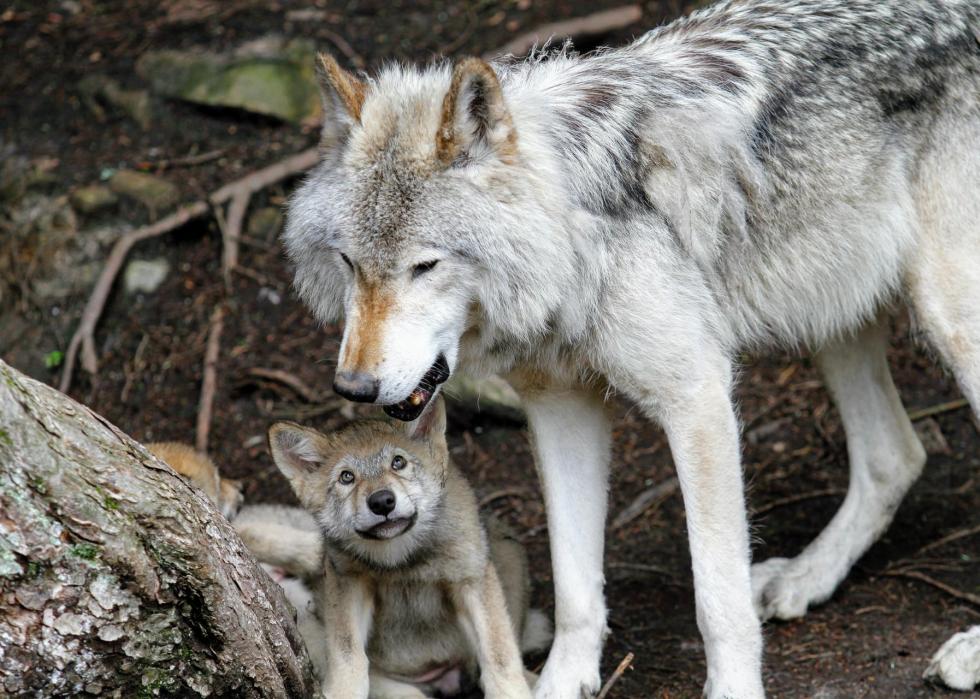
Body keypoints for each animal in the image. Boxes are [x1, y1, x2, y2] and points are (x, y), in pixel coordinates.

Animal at [233, 400, 548, 699]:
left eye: (398, 462)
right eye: (347, 477)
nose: (382, 501)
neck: (401, 560)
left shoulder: (470, 579)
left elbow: (499, 654)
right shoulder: (347, 582)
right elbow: (348, 655)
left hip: (508, 552)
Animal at [282, 2, 980, 696]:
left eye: (425, 266)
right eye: (349, 263)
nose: (353, 388)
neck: (575, 237)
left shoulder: (696, 397)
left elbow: (717, 598)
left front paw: (732, 687)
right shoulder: (560, 407)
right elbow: (574, 587)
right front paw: (561, 682)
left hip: (949, 317)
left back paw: (967, 650)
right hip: (832, 311)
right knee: (896, 454)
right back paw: (805, 577)